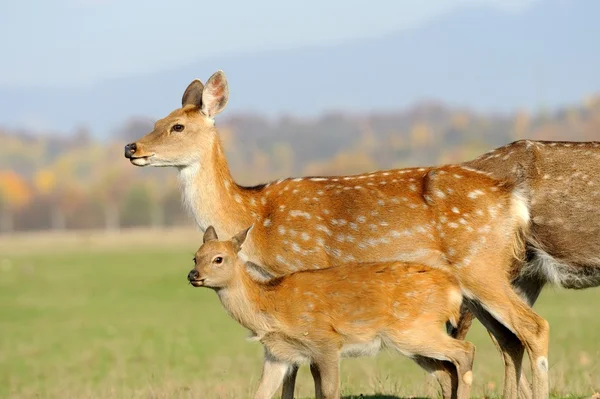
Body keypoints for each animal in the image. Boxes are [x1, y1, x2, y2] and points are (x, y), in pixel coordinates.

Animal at [188, 225, 478, 399]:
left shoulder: (326, 341)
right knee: (447, 370)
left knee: (465, 351)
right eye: (195, 256)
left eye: (219, 259)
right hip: (413, 340)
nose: (193, 275)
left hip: (413, 330)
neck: (270, 306)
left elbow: (329, 391)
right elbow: (261, 393)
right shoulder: (277, 354)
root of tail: (453, 289)